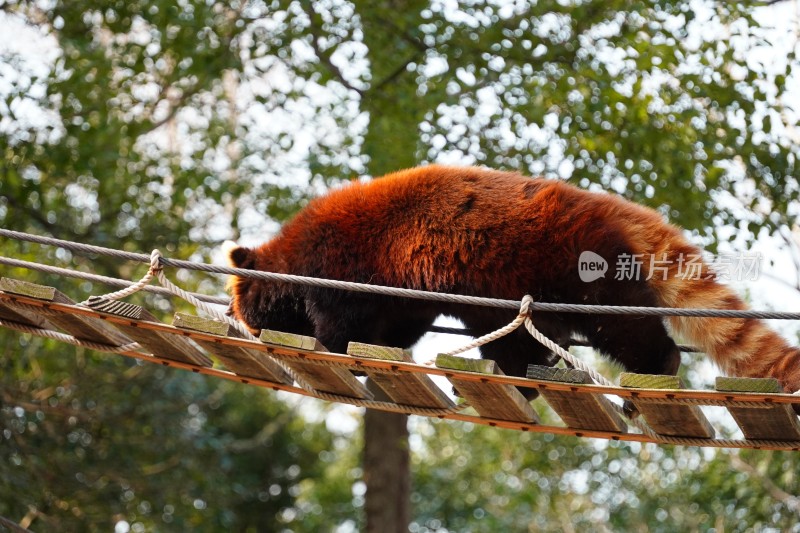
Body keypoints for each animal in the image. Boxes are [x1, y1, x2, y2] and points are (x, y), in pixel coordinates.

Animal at [225, 165, 800, 394]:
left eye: (242, 310)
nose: (240, 323)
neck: (293, 250)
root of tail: (607, 205)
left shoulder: (343, 271)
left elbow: (342, 325)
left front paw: (327, 349)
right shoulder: (403, 293)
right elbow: (398, 327)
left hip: (577, 268)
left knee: (623, 326)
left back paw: (656, 367)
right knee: (521, 341)